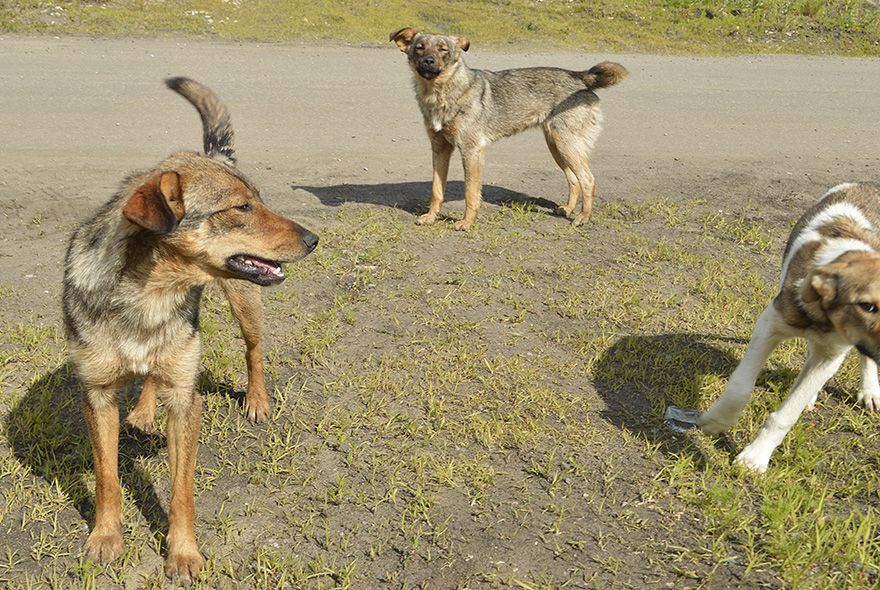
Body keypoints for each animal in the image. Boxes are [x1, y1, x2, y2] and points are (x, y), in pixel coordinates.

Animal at [390, 27, 624, 231]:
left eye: (443, 49)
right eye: (420, 47)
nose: (428, 61)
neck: (440, 94)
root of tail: (578, 75)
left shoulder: (471, 151)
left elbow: (470, 193)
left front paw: (467, 223)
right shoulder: (440, 149)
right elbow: (436, 191)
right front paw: (431, 217)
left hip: (567, 146)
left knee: (588, 180)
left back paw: (584, 217)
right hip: (557, 147)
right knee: (574, 180)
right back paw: (567, 209)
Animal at [700, 183, 880, 474]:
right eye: (867, 306)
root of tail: (863, 185)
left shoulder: (832, 354)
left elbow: (786, 415)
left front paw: (756, 457)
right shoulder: (770, 324)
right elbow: (739, 388)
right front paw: (715, 422)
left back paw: (869, 390)